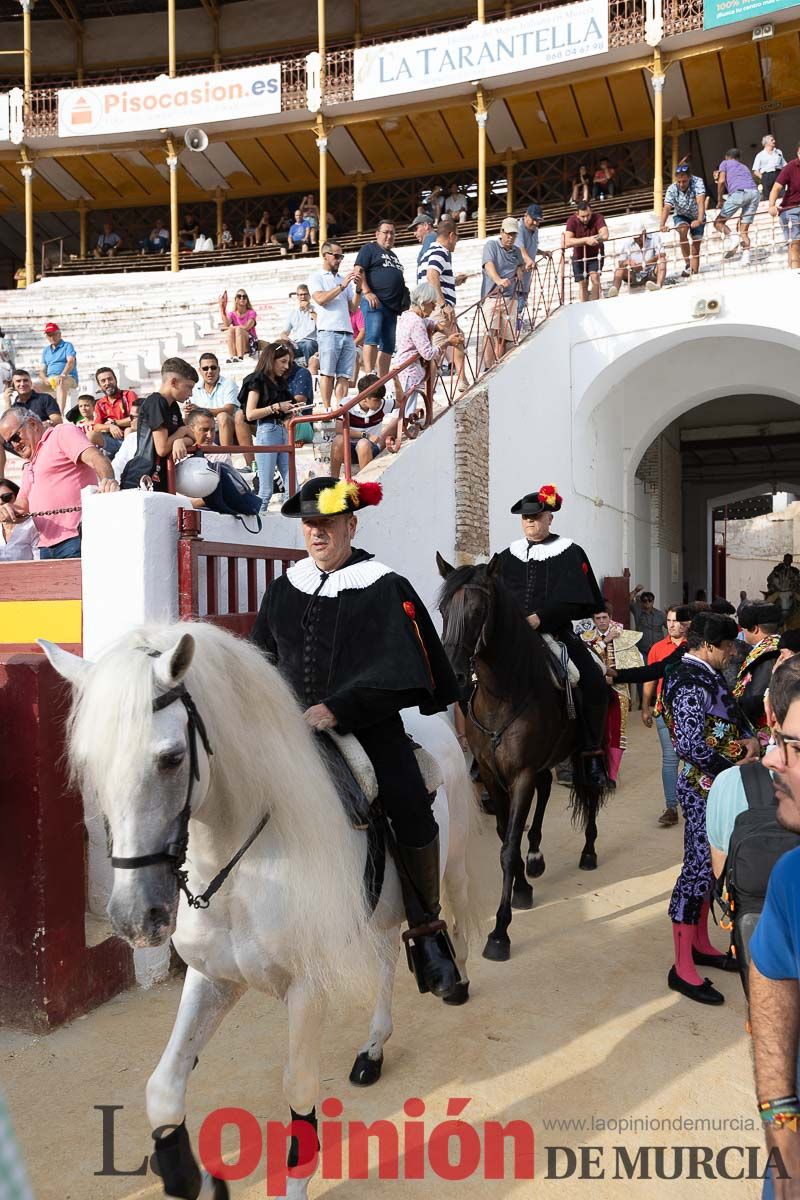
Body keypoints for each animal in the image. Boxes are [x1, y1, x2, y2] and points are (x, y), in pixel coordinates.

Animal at [42, 619, 474, 1200]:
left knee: (455, 917)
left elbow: (298, 1088)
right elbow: (164, 1087)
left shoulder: (306, 988)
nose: (136, 917)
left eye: (171, 758)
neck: (240, 868)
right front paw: (195, 1178)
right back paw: (373, 1049)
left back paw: (454, 977)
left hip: (452, 864)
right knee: (386, 958)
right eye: (91, 762)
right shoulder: (214, 978)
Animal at [434, 554, 604, 964]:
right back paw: (537, 856)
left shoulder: (521, 773)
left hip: (584, 752)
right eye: (443, 610)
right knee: (545, 790)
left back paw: (588, 850)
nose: (456, 678)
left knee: (590, 792)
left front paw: (499, 933)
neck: (503, 693)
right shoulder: (493, 775)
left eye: (478, 610)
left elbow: (509, 848)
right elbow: (503, 835)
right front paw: (523, 886)